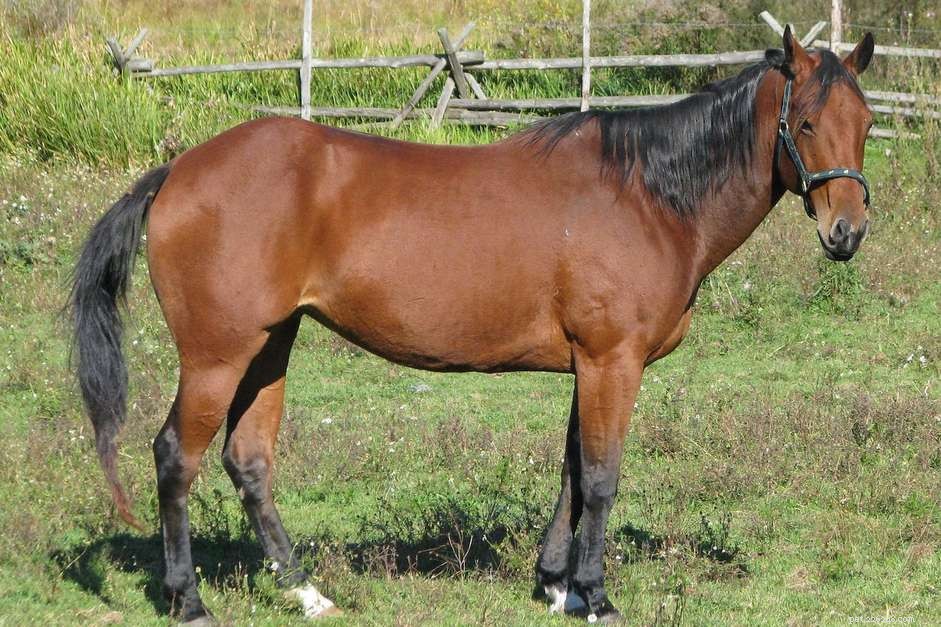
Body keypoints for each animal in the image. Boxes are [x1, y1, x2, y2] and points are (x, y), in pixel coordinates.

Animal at [69, 28, 875, 623]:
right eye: (805, 122)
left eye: (865, 123)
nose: (846, 232)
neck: (645, 194)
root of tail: (176, 173)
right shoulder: (612, 360)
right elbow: (602, 476)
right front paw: (596, 595)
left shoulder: (588, 364)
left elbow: (572, 469)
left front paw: (555, 583)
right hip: (217, 355)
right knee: (176, 456)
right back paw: (189, 601)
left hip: (271, 344)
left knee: (249, 461)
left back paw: (305, 591)